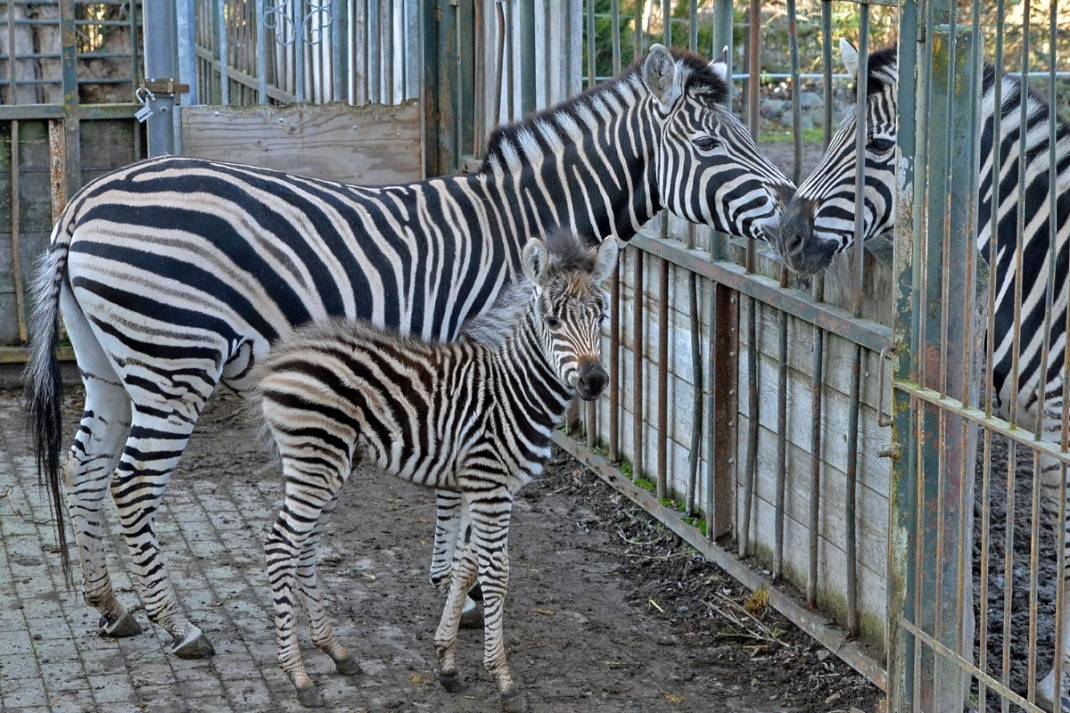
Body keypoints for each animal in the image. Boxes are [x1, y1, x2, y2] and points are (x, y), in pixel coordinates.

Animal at [25, 43, 795, 661]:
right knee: (130, 483)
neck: (521, 227)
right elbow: (463, 487)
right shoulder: (480, 355)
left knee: (84, 466)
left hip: (109, 364)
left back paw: (110, 608)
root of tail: (81, 204)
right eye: (711, 146)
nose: (798, 218)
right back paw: (179, 627)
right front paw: (467, 589)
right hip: (172, 363)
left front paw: (456, 585)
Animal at [251, 230, 615, 711]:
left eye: (602, 316)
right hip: (317, 460)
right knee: (280, 545)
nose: (594, 381)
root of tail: (282, 355)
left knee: (304, 546)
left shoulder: (485, 487)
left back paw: (336, 652)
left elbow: (464, 567)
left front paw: (446, 663)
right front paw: (503, 680)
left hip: (330, 464)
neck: (514, 388)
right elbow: (495, 574)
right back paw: (298, 676)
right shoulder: (489, 484)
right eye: (553, 322)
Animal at [773, 40, 1070, 711]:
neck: (1044, 263)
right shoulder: (1033, 424)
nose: (786, 237)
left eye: (881, 148)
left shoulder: (1061, 422)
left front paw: (1058, 684)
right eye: (833, 134)